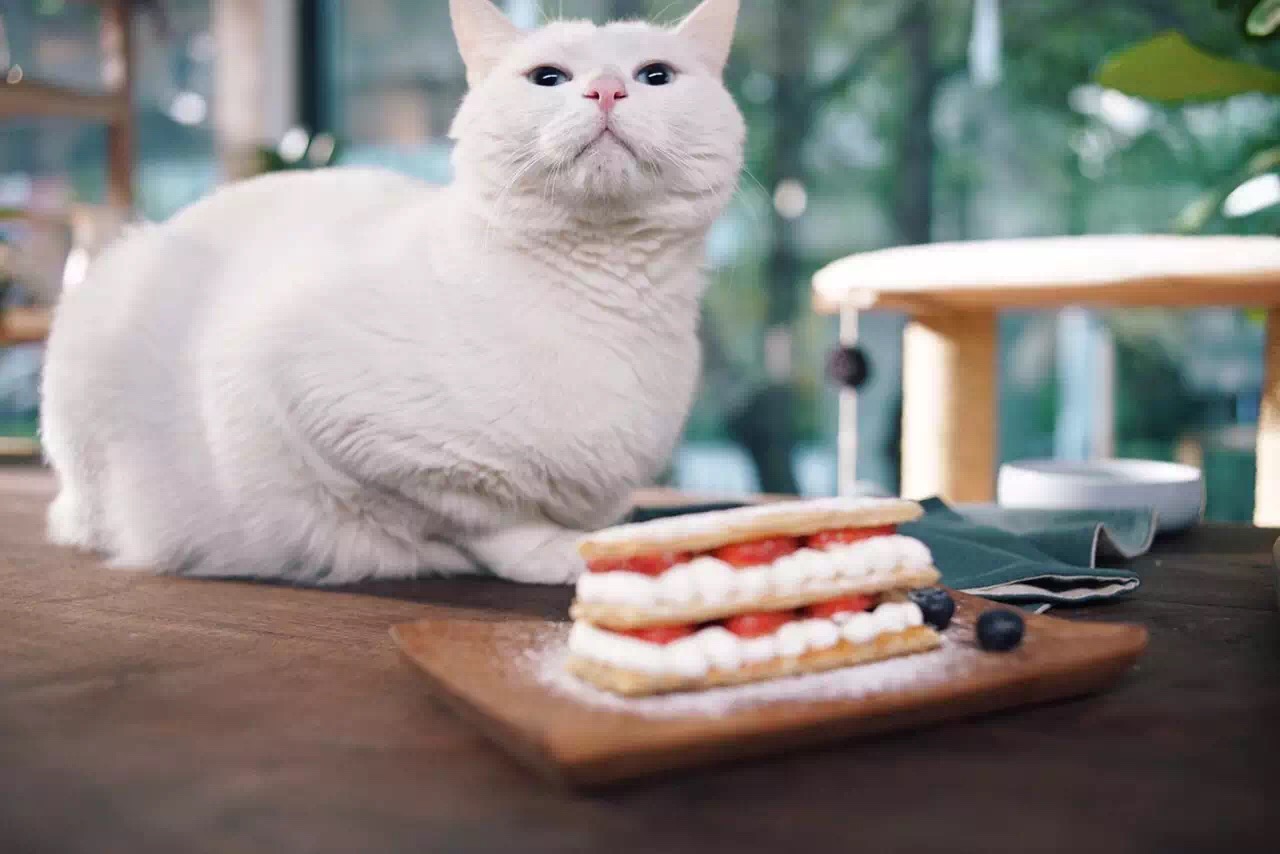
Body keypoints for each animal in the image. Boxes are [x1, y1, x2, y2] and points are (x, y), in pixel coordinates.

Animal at [40, 0, 747, 588]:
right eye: (548, 77)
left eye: (655, 75)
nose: (607, 89)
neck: (603, 305)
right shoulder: (321, 410)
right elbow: (485, 514)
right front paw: (559, 552)